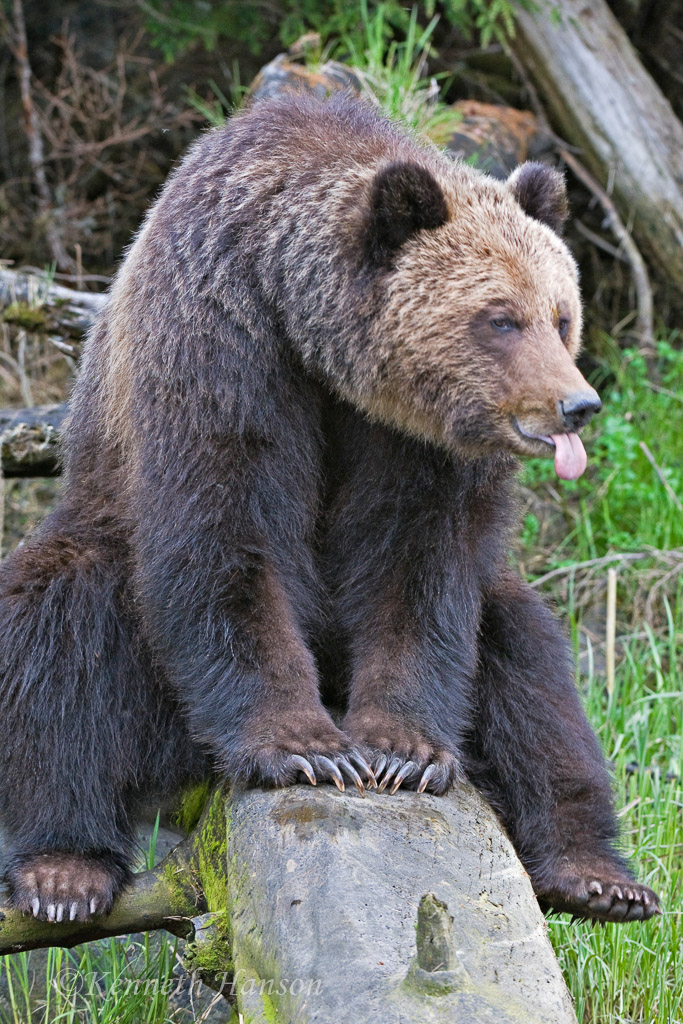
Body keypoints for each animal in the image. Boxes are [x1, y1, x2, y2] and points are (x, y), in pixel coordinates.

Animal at [1, 96, 663, 925]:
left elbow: (420, 566)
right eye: (500, 318)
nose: (575, 404)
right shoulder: (219, 341)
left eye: (562, 315)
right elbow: (226, 531)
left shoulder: (415, 446)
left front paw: (401, 751)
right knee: (56, 636)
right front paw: (305, 746)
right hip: (115, 589)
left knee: (531, 662)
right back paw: (64, 868)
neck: (302, 323)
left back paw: (595, 874)